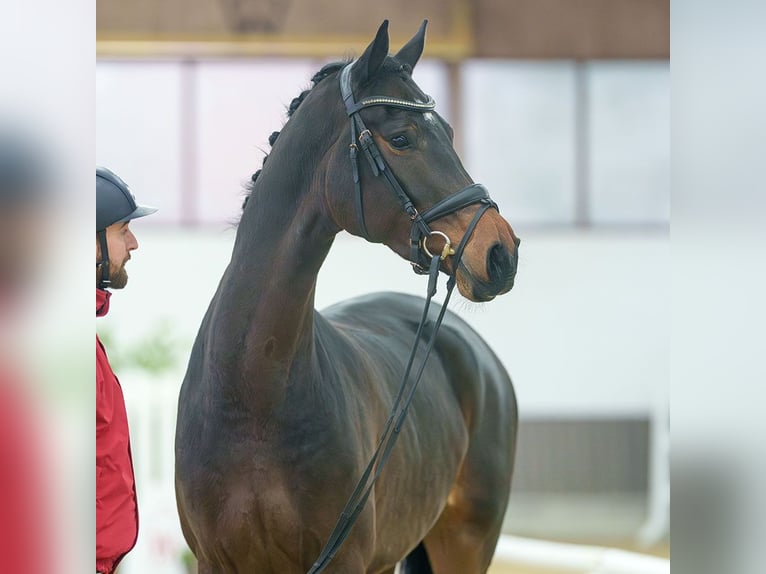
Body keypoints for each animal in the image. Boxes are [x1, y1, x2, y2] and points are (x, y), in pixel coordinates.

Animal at [175, 19, 520, 574]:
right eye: (401, 138)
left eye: (448, 133)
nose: (500, 252)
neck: (252, 398)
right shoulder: (215, 561)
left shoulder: (344, 560)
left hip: (466, 543)